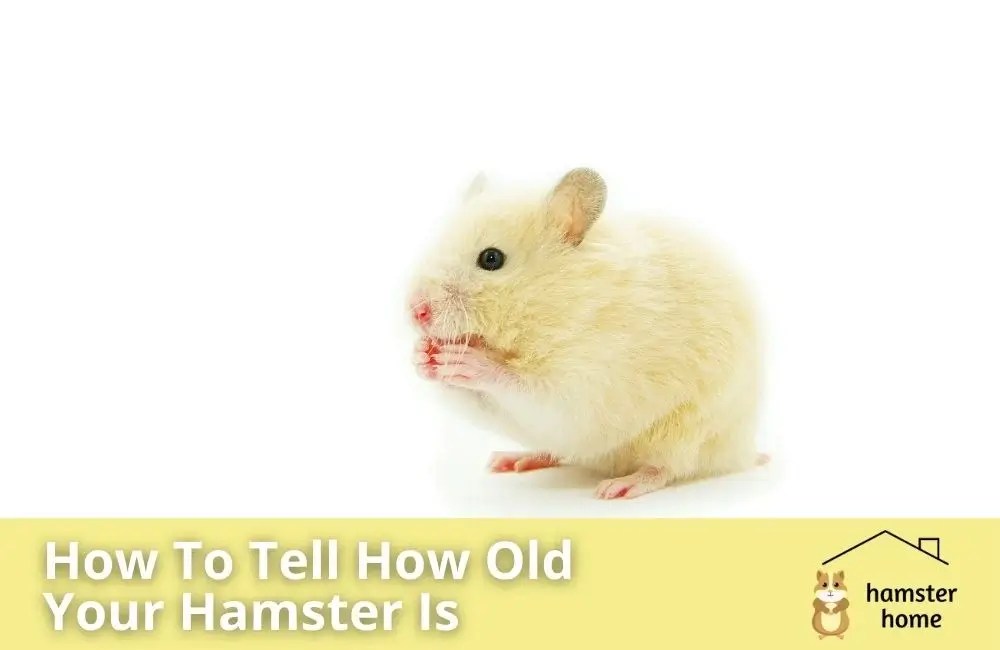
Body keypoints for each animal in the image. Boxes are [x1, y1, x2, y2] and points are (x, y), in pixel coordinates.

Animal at [407, 168, 766, 499]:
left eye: (491, 258)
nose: (414, 310)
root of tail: (744, 452)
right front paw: (420, 356)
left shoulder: (586, 384)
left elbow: (525, 389)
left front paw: (467, 361)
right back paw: (512, 460)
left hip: (689, 432)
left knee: (667, 467)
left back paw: (618, 487)